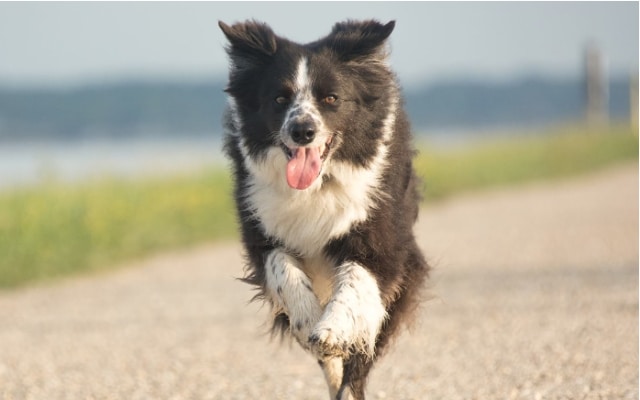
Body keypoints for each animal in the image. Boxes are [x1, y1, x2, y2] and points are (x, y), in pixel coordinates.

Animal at [220, 19, 430, 400]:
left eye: (331, 98)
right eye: (279, 99)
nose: (302, 130)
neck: (317, 184)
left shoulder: (381, 229)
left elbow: (358, 280)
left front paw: (332, 329)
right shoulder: (259, 220)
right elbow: (281, 268)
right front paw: (308, 322)